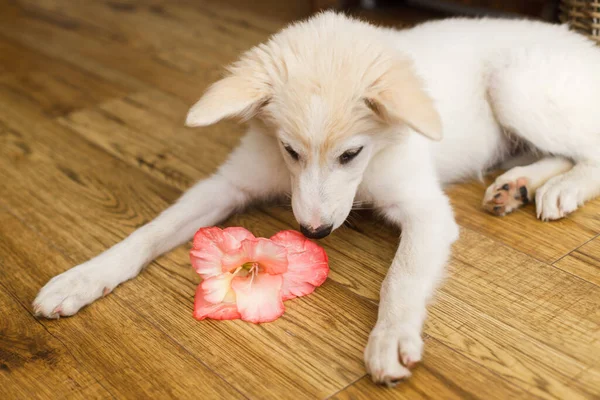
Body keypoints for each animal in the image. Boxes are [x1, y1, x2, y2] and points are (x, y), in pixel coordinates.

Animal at [32, 12, 600, 386]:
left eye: (351, 154)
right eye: (290, 150)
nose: (313, 233)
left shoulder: (425, 210)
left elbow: (401, 278)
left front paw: (390, 338)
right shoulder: (231, 183)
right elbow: (148, 231)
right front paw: (83, 277)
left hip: (516, 84)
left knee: (588, 149)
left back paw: (562, 188)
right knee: (553, 151)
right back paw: (518, 185)